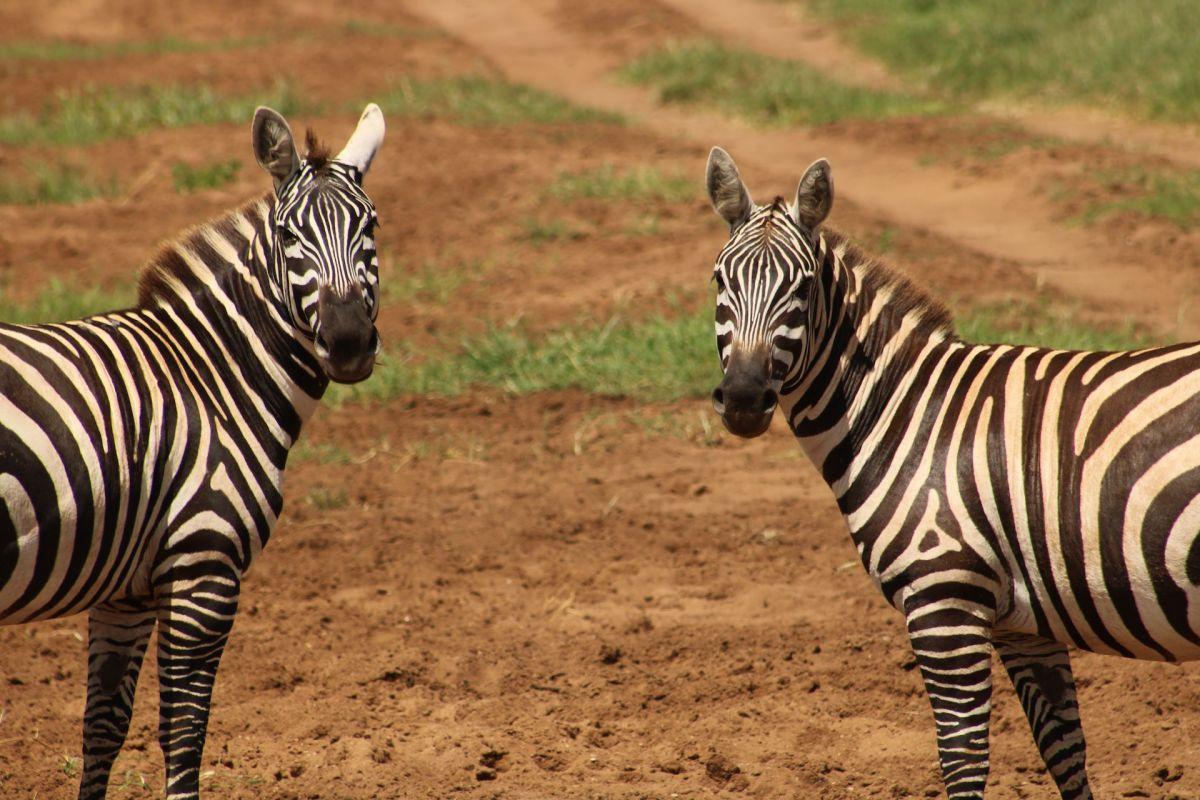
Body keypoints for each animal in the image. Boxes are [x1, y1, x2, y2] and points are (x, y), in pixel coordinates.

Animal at [0, 106, 384, 800]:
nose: (347, 343)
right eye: (289, 234)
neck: (210, 376)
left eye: (370, 226)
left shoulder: (125, 589)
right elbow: (184, 730)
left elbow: (104, 725)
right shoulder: (204, 565)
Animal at [700, 145, 1200, 800]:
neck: (909, 412)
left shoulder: (944, 600)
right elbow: (1064, 750)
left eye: (803, 289)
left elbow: (962, 758)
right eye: (719, 280)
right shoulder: (1024, 622)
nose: (742, 398)